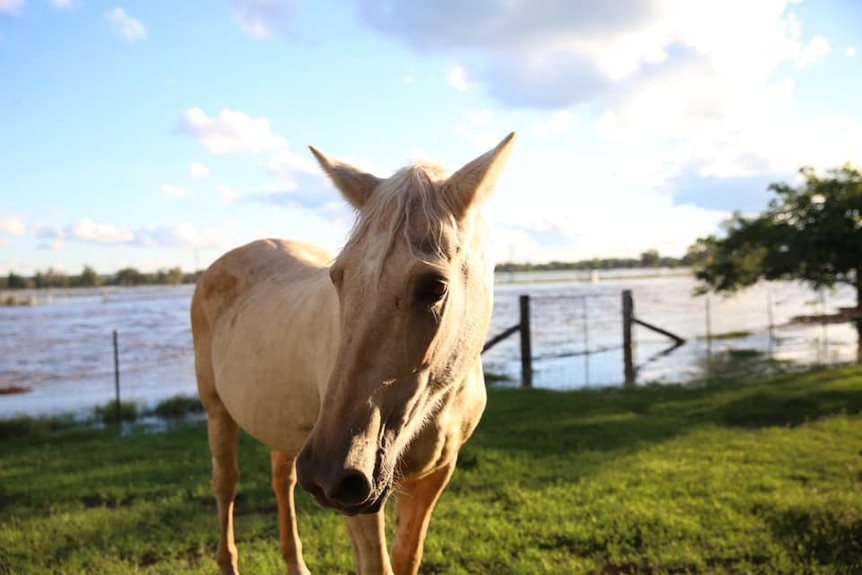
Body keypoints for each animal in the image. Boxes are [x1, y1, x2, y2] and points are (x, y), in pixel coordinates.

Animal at [192, 132, 516, 575]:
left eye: (434, 286)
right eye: (338, 276)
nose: (328, 472)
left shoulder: (433, 476)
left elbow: (406, 556)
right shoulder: (358, 499)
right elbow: (377, 564)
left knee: (282, 478)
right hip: (219, 413)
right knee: (225, 484)